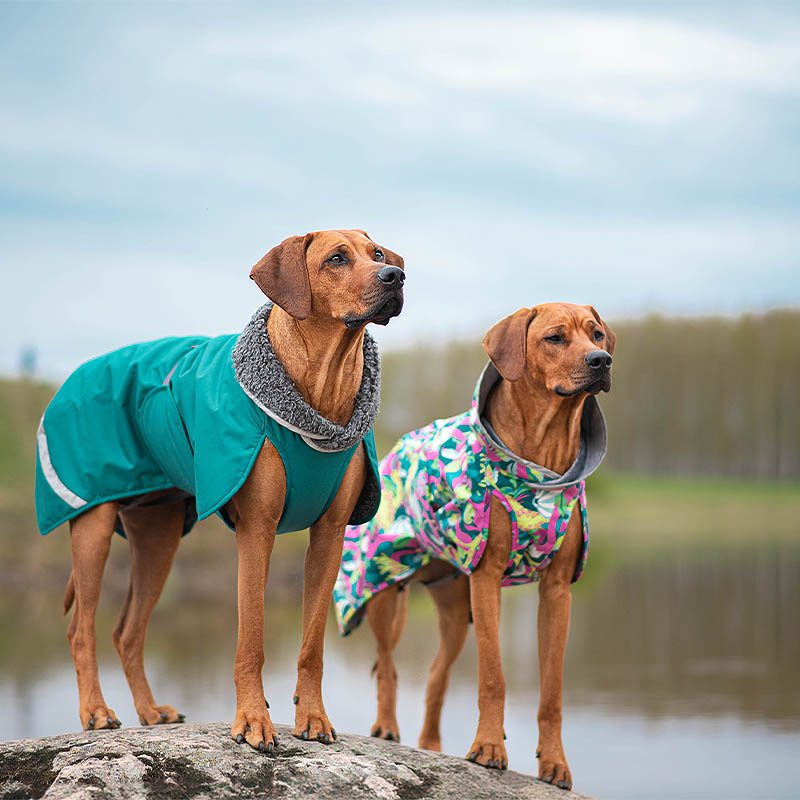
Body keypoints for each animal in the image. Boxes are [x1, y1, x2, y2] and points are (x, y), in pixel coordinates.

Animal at [55, 230, 404, 752]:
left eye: (378, 254)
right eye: (336, 259)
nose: (395, 276)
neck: (319, 390)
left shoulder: (330, 533)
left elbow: (312, 644)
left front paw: (313, 718)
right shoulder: (257, 527)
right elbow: (251, 639)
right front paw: (253, 721)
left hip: (158, 538)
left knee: (127, 632)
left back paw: (149, 711)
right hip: (93, 522)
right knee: (81, 628)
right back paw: (96, 711)